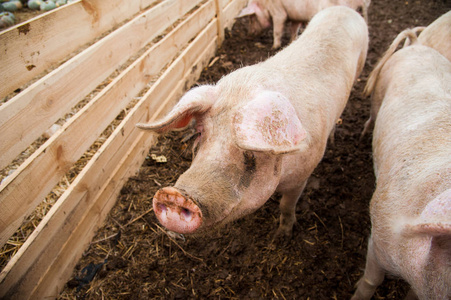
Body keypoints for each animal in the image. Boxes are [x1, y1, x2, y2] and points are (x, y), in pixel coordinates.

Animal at [137, 6, 368, 239]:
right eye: (201, 132)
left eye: (248, 149)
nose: (174, 195)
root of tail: (344, 9)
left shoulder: (302, 176)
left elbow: (286, 205)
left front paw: (282, 236)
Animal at [237, 0, 370, 49]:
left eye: (251, 18)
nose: (249, 35)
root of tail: (361, 2)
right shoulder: (295, 17)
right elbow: (293, 29)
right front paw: (291, 42)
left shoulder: (279, 12)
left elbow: (277, 30)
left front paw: (275, 47)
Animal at [354, 27, 451, 298]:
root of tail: (416, 45)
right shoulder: (380, 236)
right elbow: (372, 279)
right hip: (378, 93)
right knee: (372, 115)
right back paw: (364, 135)